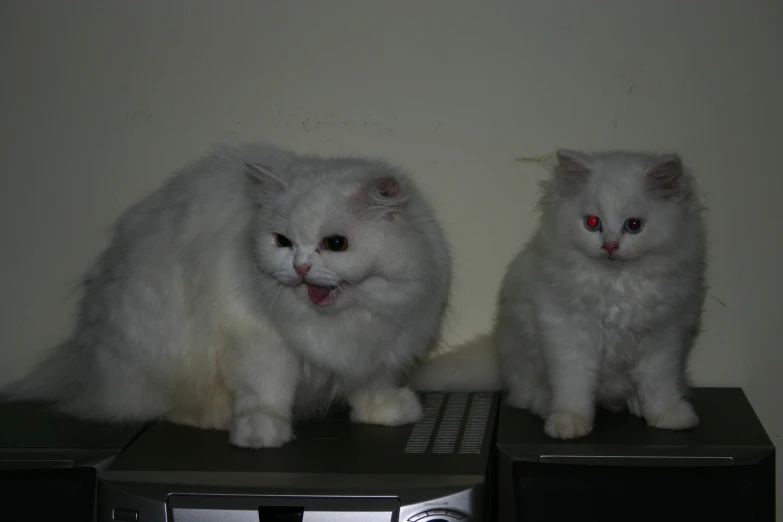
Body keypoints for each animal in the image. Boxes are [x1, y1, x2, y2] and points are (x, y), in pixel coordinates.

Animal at [414, 148, 708, 436]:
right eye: (593, 222)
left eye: (633, 225)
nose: (610, 246)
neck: (616, 284)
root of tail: (497, 350)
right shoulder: (569, 332)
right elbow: (573, 385)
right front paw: (569, 422)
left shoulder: (664, 336)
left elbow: (659, 383)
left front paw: (669, 415)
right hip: (523, 347)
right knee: (523, 393)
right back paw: (545, 404)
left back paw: (636, 403)